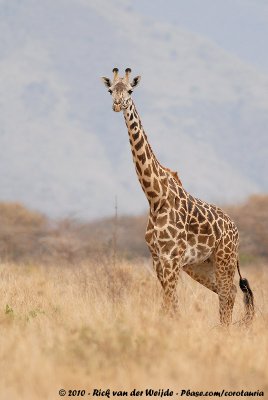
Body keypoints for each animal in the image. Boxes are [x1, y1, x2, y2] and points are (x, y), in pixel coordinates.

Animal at [101, 68, 254, 324]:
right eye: (111, 90)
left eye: (130, 90)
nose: (117, 104)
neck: (155, 196)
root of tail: (235, 229)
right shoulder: (158, 259)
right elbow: (169, 304)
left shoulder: (171, 257)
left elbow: (171, 304)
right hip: (200, 265)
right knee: (229, 292)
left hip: (225, 258)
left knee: (228, 292)